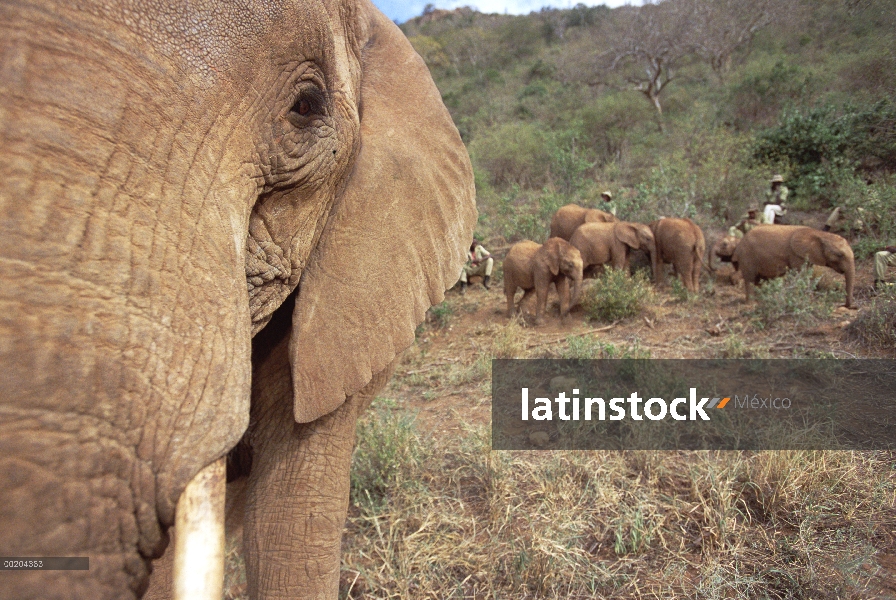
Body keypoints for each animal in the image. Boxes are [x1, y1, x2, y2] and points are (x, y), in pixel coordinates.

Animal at [728, 226, 856, 310]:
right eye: (839, 255)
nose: (846, 306)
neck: (819, 234)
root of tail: (739, 244)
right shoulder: (796, 255)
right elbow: (801, 275)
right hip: (747, 256)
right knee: (750, 279)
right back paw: (752, 304)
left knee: (760, 280)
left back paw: (763, 301)